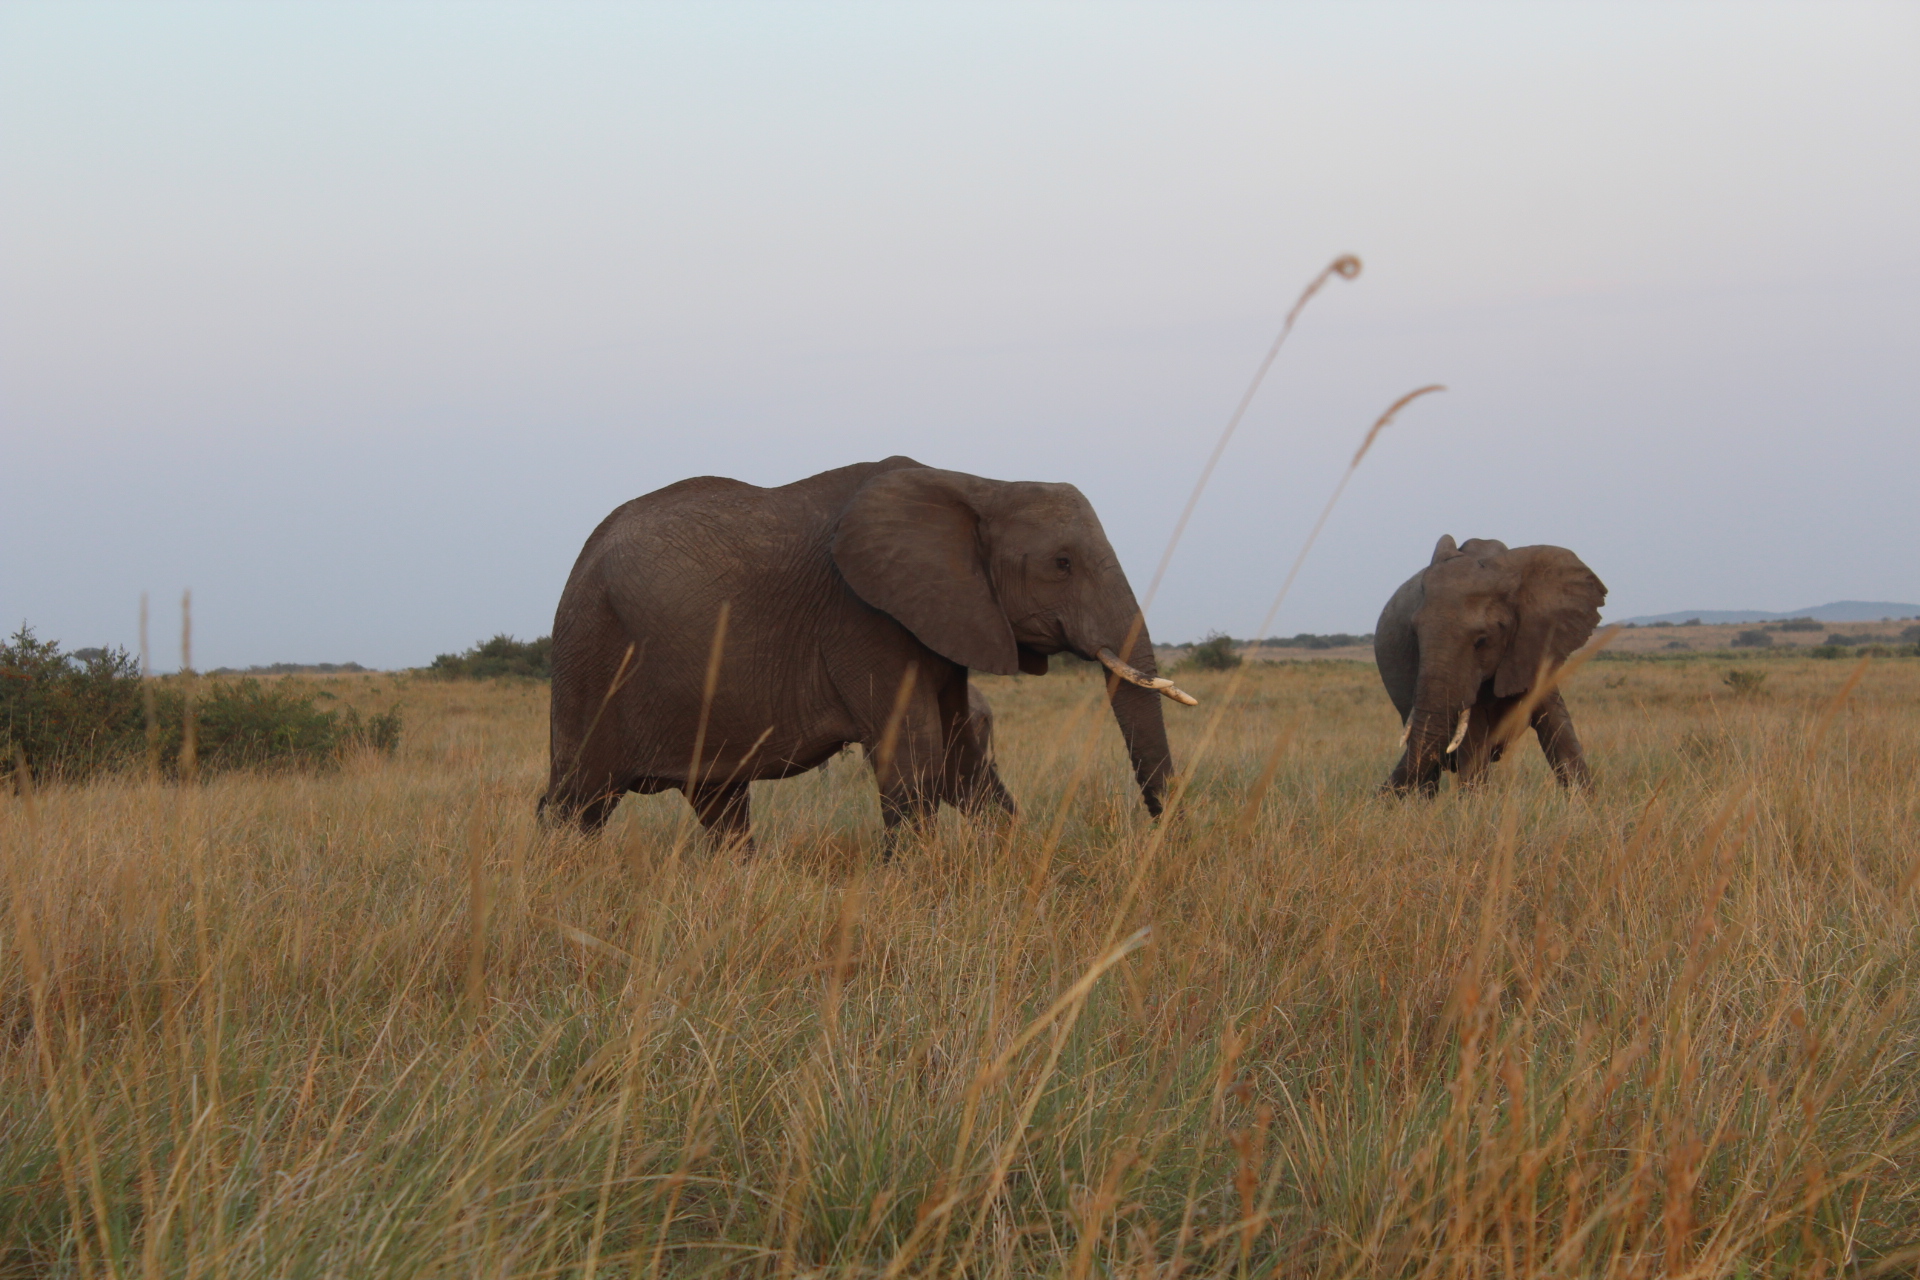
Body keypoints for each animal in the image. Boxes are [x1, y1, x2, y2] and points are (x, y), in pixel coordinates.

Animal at [540, 456, 1194, 850]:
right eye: (1062, 564)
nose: (1168, 841)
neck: (976, 483)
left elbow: (959, 760)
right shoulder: (863, 619)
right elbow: (914, 757)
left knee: (718, 802)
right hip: (589, 652)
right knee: (579, 802)